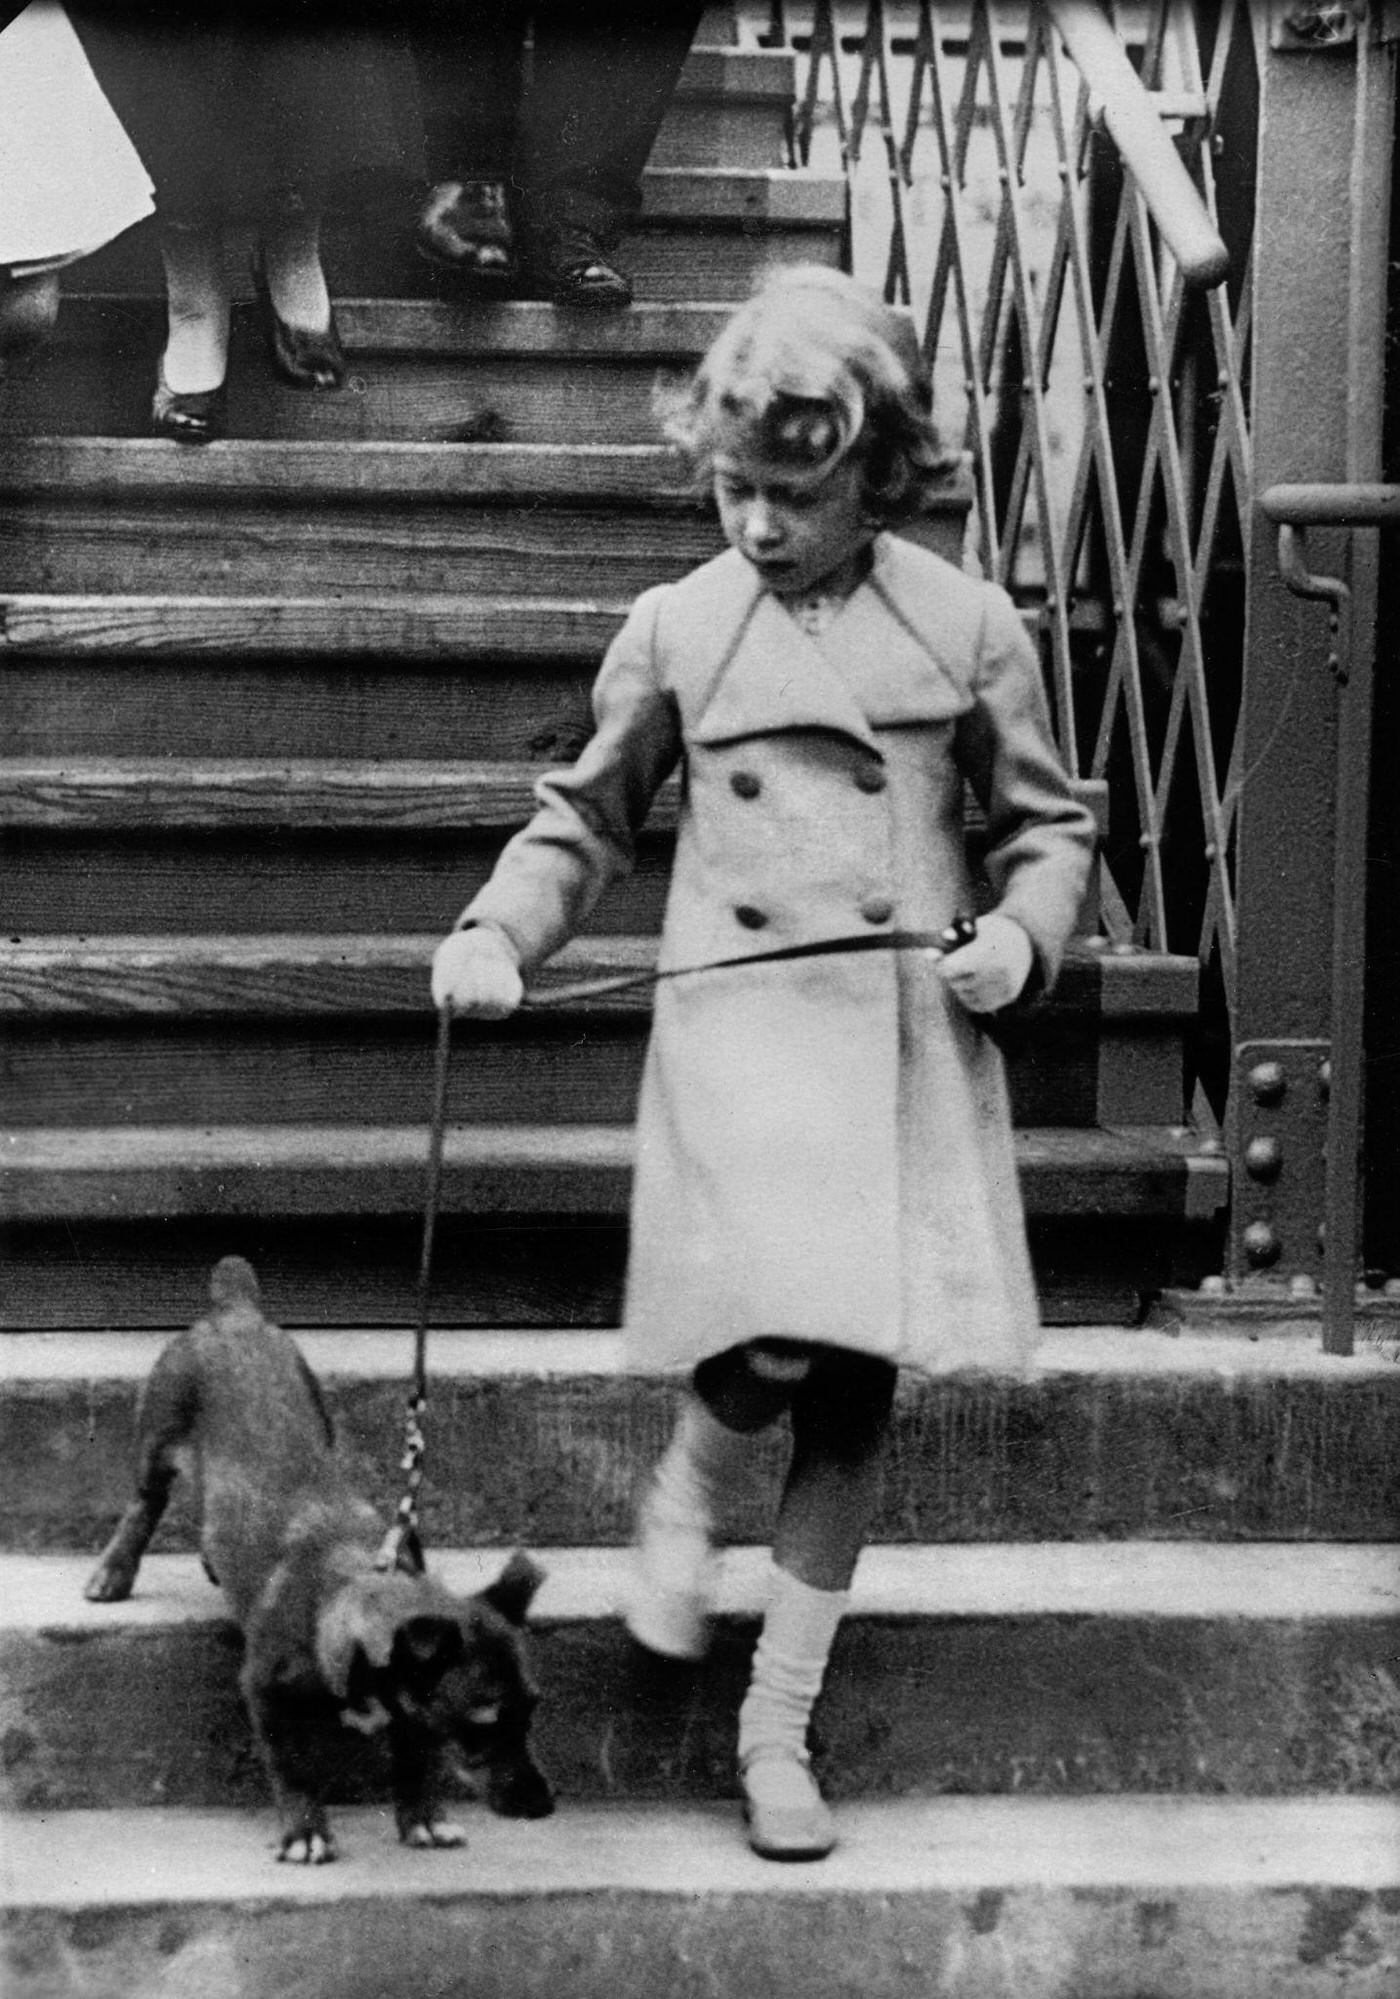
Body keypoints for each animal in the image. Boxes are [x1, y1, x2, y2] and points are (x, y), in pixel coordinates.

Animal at [85, 1255, 556, 1863]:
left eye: (532, 1712)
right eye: (480, 1727)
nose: (545, 1807)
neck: (347, 1592)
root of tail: (235, 1309)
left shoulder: (411, 1714)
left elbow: (415, 1760)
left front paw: (424, 1818)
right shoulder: (266, 1696)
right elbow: (293, 1769)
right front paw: (305, 1831)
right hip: (157, 1435)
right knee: (144, 1506)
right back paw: (113, 1571)